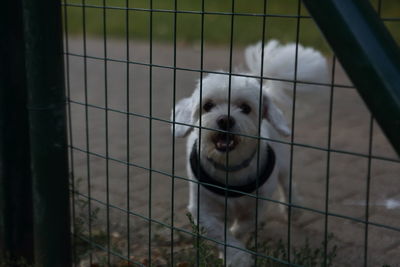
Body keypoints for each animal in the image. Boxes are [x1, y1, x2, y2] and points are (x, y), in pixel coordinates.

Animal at [172, 40, 328, 267]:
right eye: (208, 105)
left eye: (245, 108)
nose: (225, 120)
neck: (230, 166)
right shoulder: (202, 210)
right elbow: (221, 233)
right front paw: (235, 255)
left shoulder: (258, 205)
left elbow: (242, 226)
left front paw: (236, 250)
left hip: (282, 161)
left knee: (287, 182)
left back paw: (293, 209)